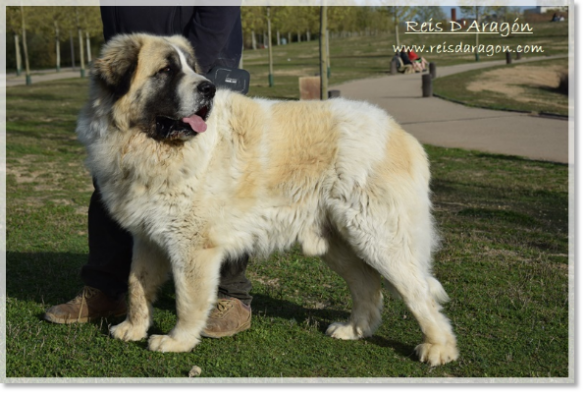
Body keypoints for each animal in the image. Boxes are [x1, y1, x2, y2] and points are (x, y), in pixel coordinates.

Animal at [77, 33, 458, 366]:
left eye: (190, 67)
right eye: (166, 71)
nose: (208, 88)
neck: (146, 147)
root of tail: (400, 132)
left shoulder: (193, 246)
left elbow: (188, 299)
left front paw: (178, 341)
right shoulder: (148, 236)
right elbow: (137, 284)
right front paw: (133, 327)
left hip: (377, 236)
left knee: (418, 290)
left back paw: (439, 348)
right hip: (339, 243)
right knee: (368, 284)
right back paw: (354, 329)